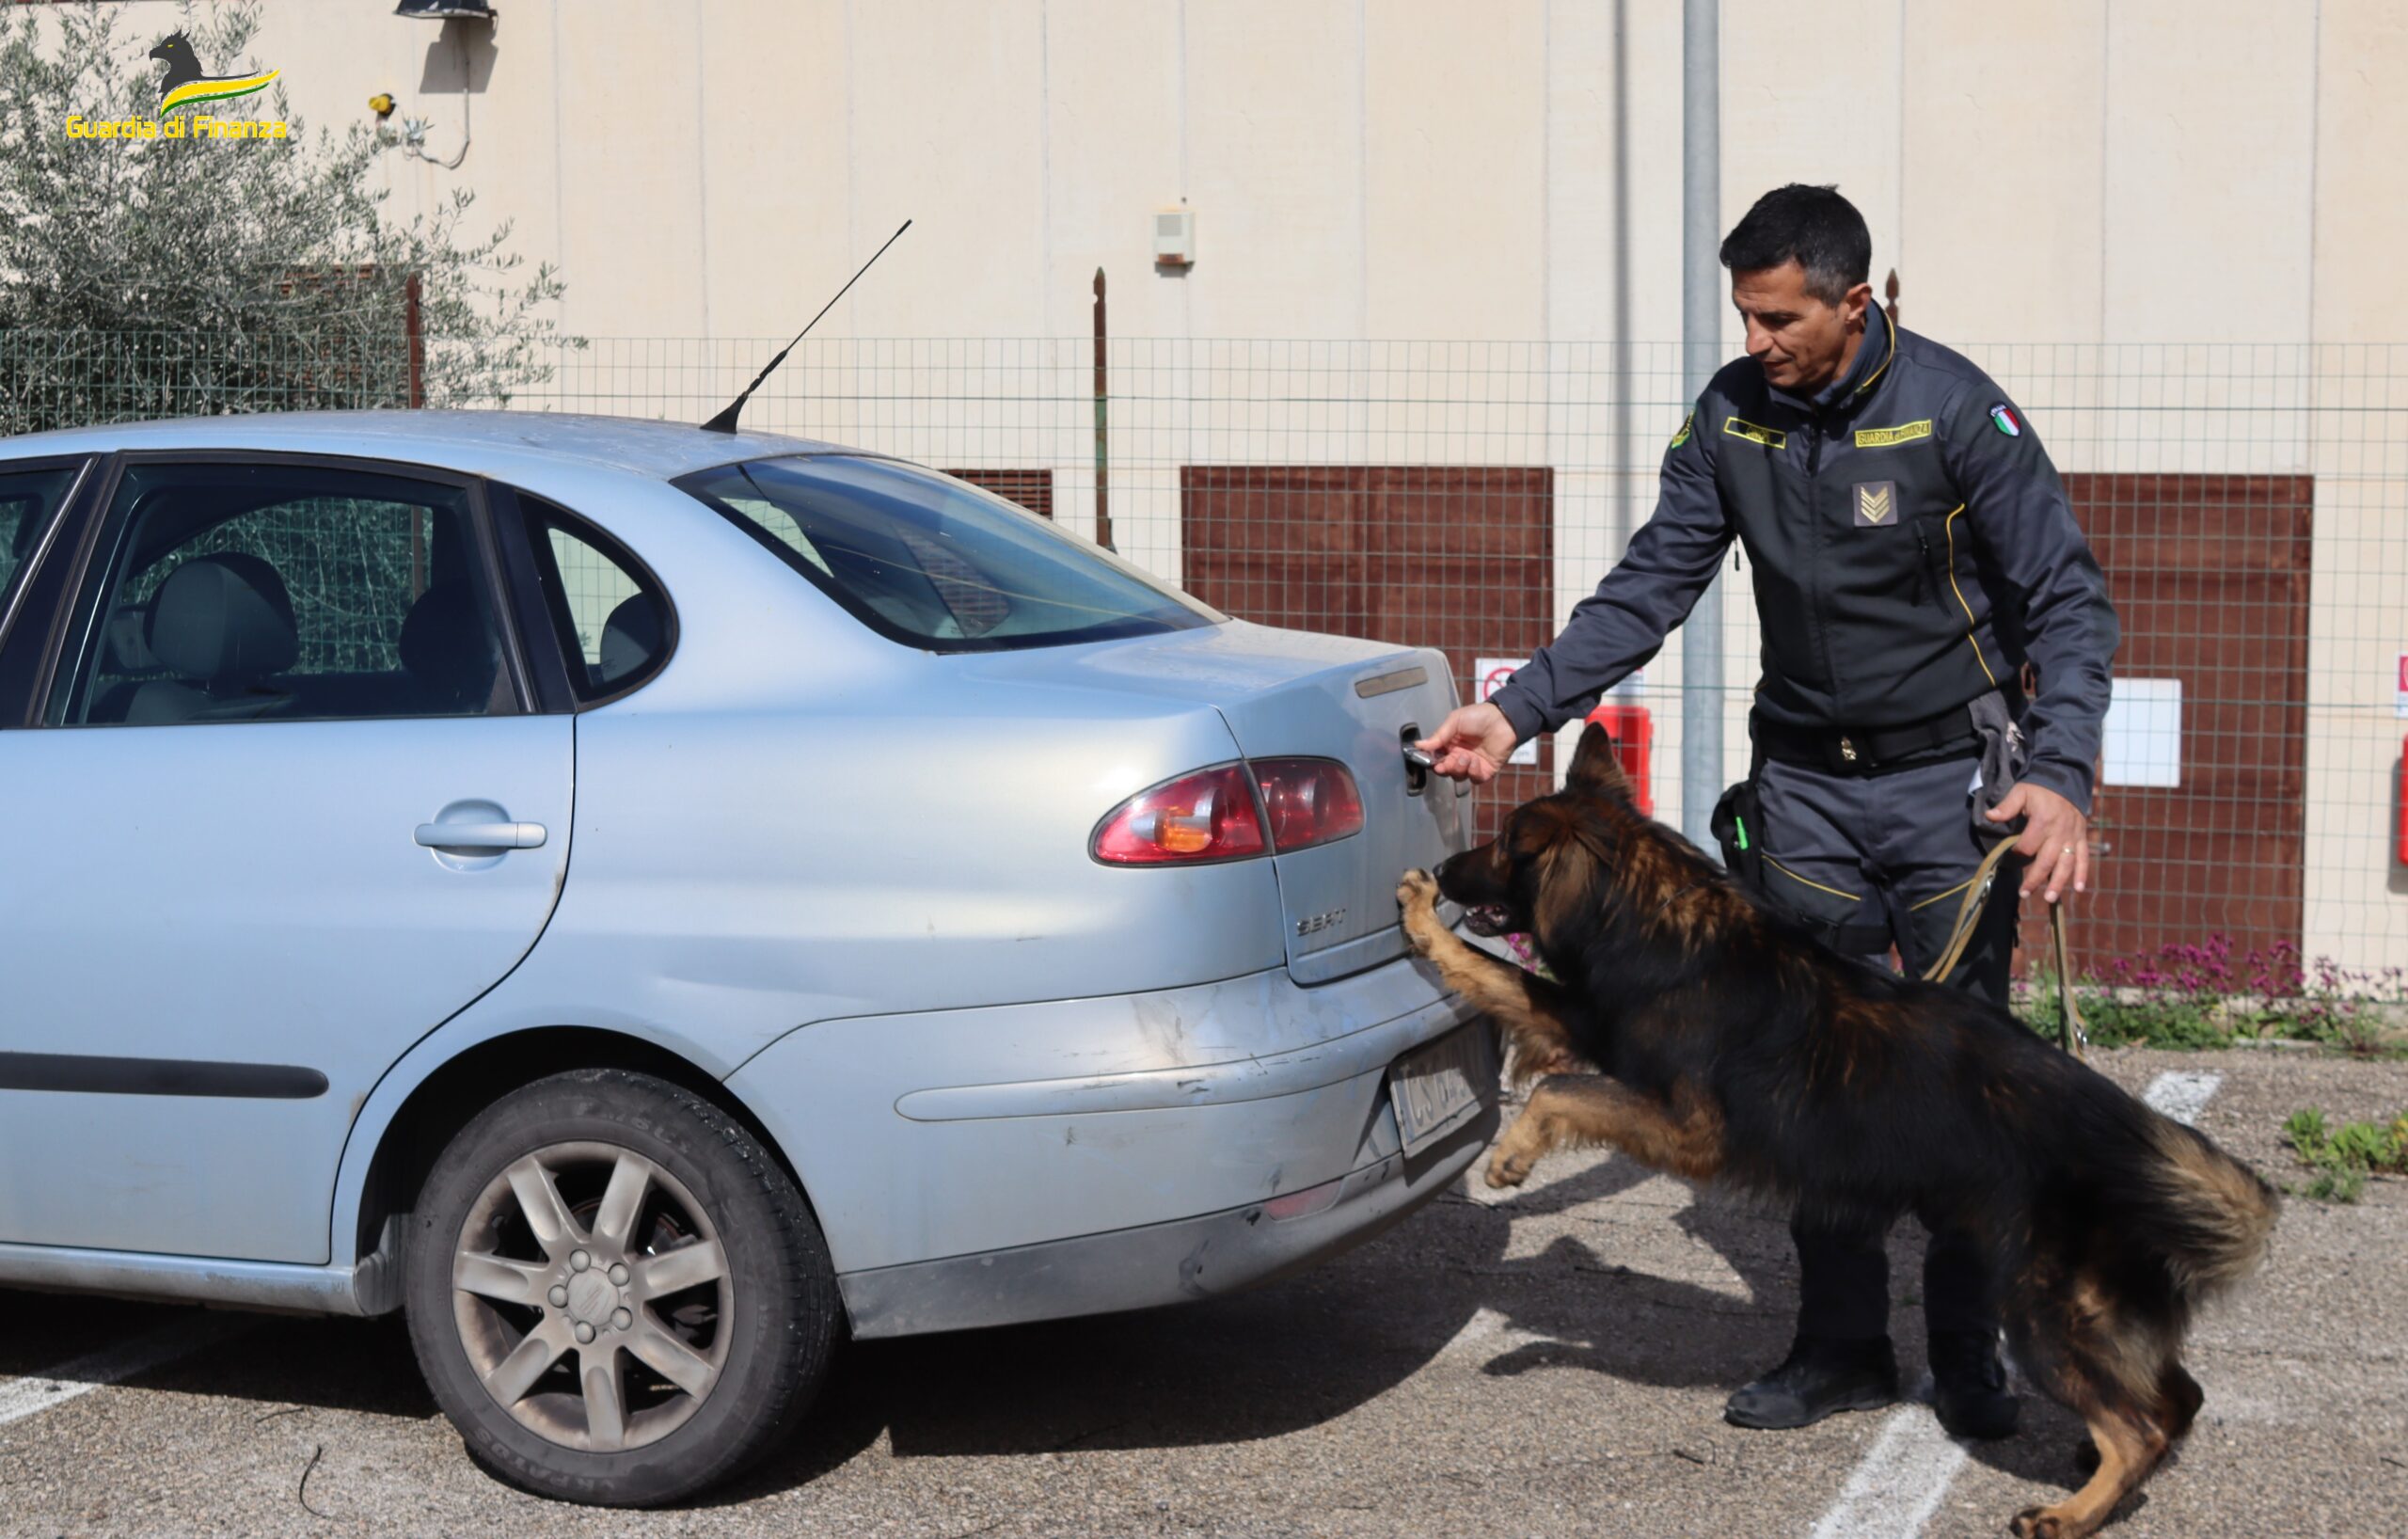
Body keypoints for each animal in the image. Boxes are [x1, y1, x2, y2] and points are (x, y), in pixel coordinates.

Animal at [1396, 727, 2273, 1539]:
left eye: (1504, 847)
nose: (1445, 869)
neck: (1650, 918)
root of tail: (2137, 1141)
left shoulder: (1687, 1125)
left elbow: (1556, 1087)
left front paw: (1512, 1156)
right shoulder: (1584, 1018)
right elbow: (1495, 978)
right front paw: (1419, 919)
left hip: (2043, 1310)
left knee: (2139, 1425)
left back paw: (2073, 1511)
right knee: (2176, 1397)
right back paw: (2100, 1471)